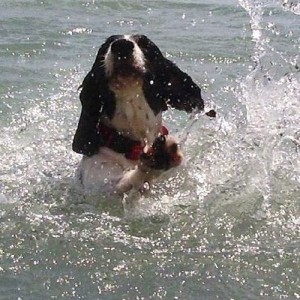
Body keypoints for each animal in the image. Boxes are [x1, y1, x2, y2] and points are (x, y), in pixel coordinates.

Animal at [71, 34, 214, 195]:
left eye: (146, 45)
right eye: (106, 46)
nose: (121, 45)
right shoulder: (98, 182)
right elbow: (123, 183)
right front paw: (156, 159)